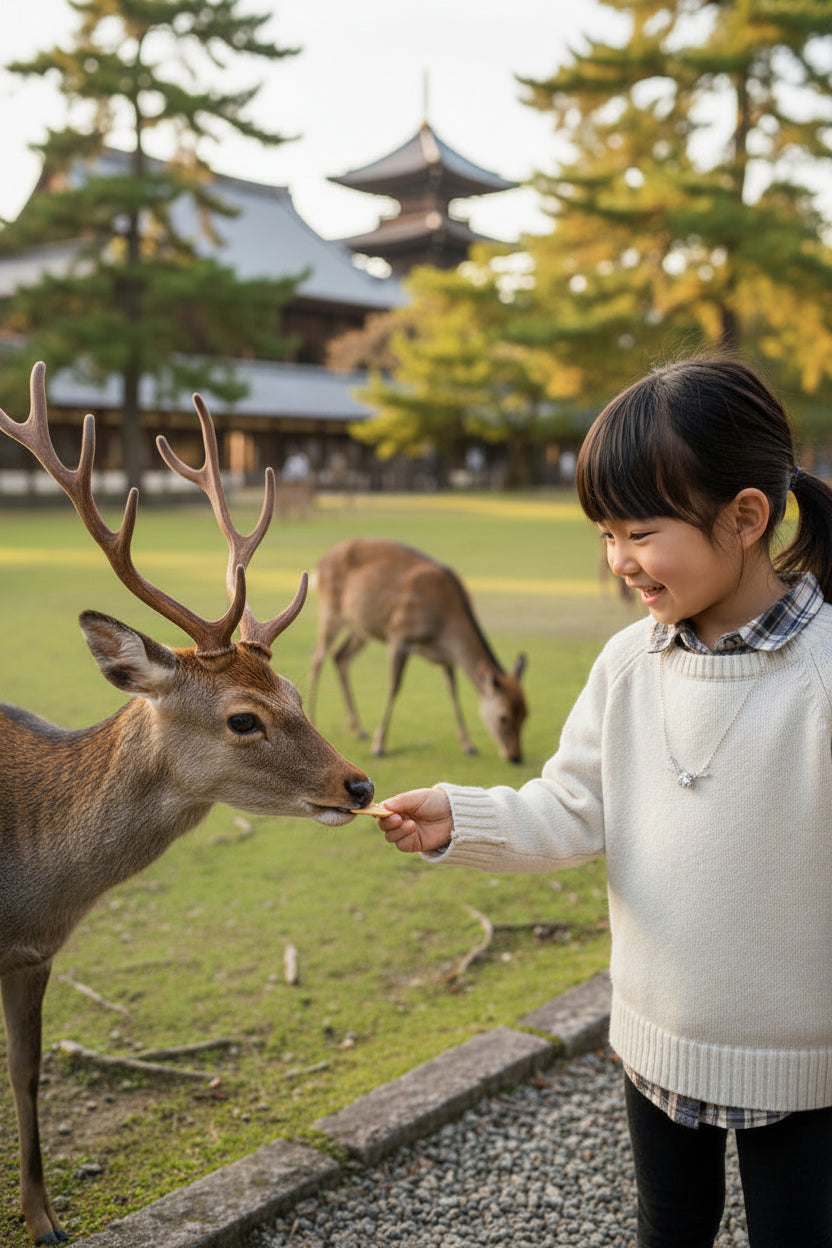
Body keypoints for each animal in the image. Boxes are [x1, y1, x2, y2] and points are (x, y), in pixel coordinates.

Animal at [0, 363, 375, 1246]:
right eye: (243, 717)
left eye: (296, 692)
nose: (359, 785)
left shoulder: (32, 953)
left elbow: (27, 1073)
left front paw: (44, 1218)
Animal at [308, 537, 528, 762]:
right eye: (503, 717)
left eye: (525, 714)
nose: (516, 757)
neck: (444, 630)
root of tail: (319, 565)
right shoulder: (399, 636)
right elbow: (393, 687)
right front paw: (379, 746)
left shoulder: (446, 658)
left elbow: (453, 691)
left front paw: (469, 745)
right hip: (330, 611)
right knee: (317, 659)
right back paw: (314, 720)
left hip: (361, 628)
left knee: (340, 656)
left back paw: (359, 729)